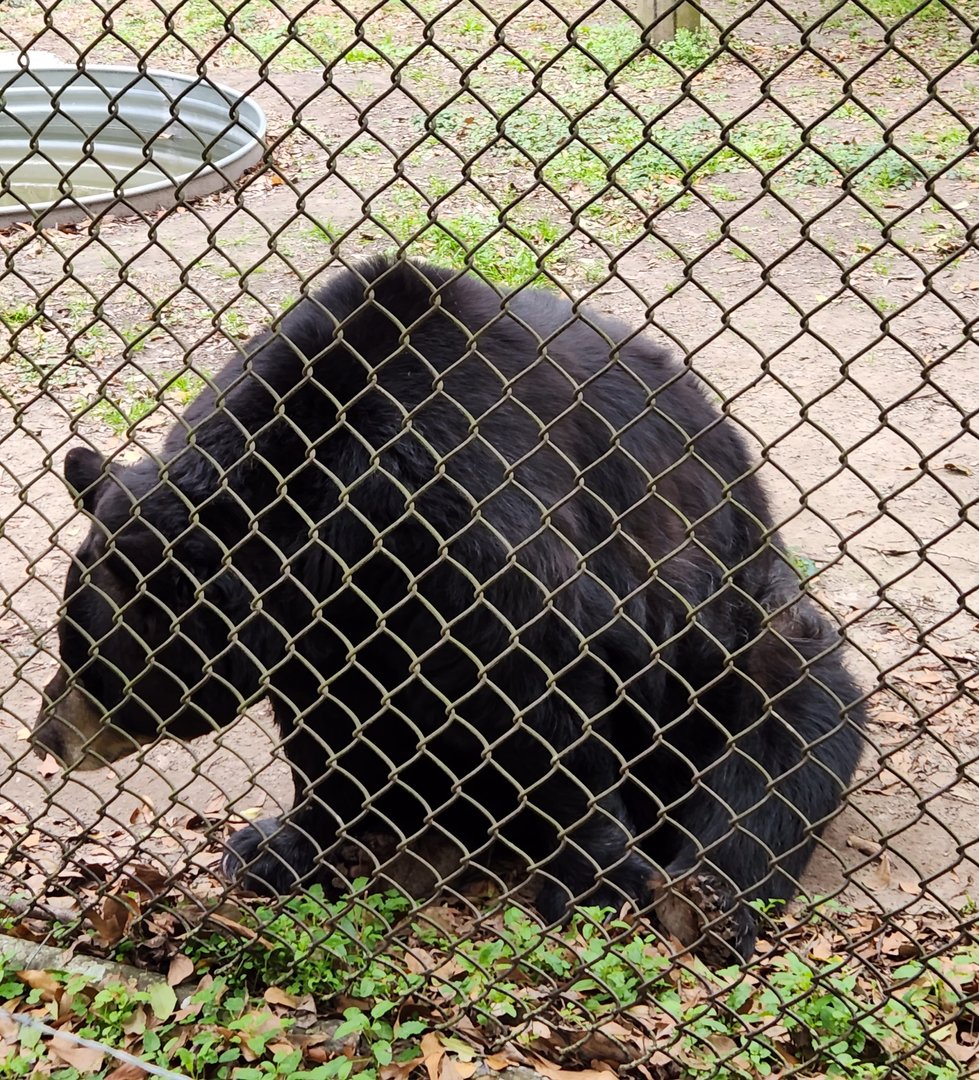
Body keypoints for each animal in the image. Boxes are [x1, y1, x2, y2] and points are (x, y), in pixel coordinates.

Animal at [34, 255, 865, 962]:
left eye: (85, 656)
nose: (48, 735)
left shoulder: (476, 514)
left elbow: (549, 692)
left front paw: (593, 882)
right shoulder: (329, 618)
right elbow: (324, 725)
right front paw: (279, 844)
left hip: (744, 627)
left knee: (785, 724)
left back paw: (705, 902)